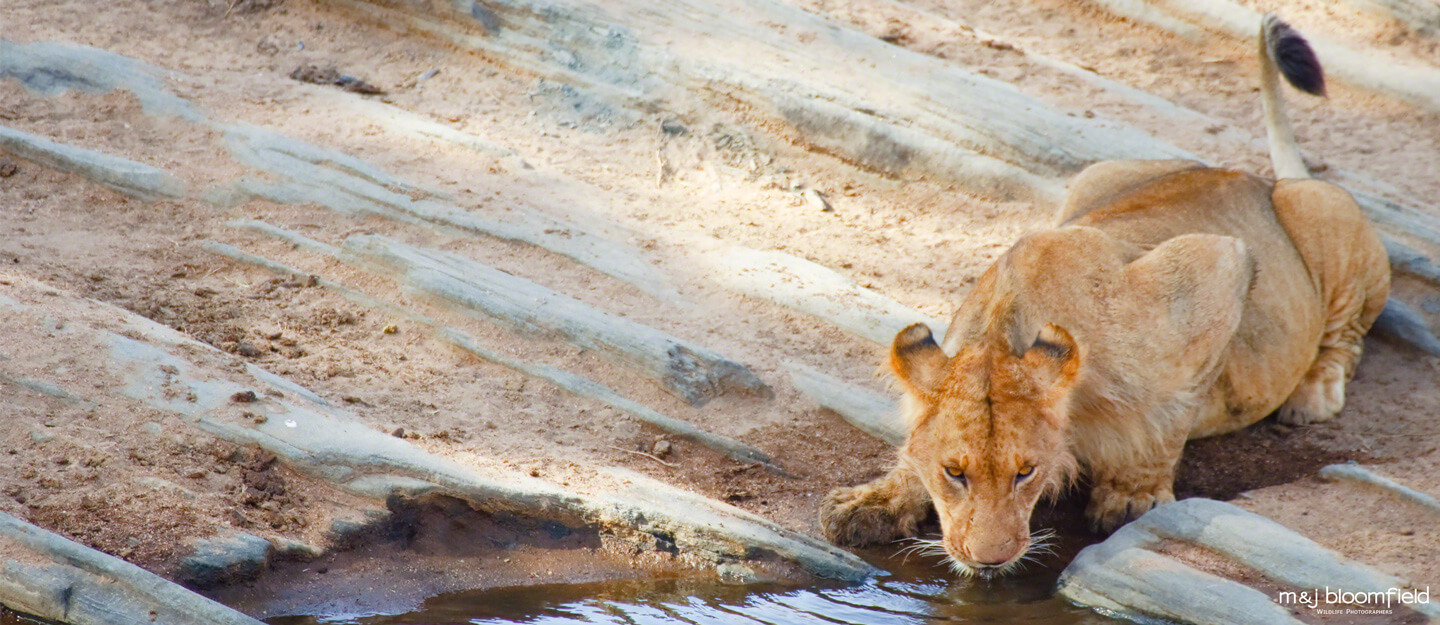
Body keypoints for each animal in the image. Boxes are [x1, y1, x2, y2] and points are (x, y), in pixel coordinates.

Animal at [817, 15, 1388, 576]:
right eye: (954, 472)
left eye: (1026, 472)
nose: (989, 560)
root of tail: (1255, 177)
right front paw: (874, 501)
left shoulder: (1219, 266)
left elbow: (1168, 420)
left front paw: (1133, 494)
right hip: (1095, 175)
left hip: (1324, 214)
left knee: (1347, 334)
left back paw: (1313, 395)